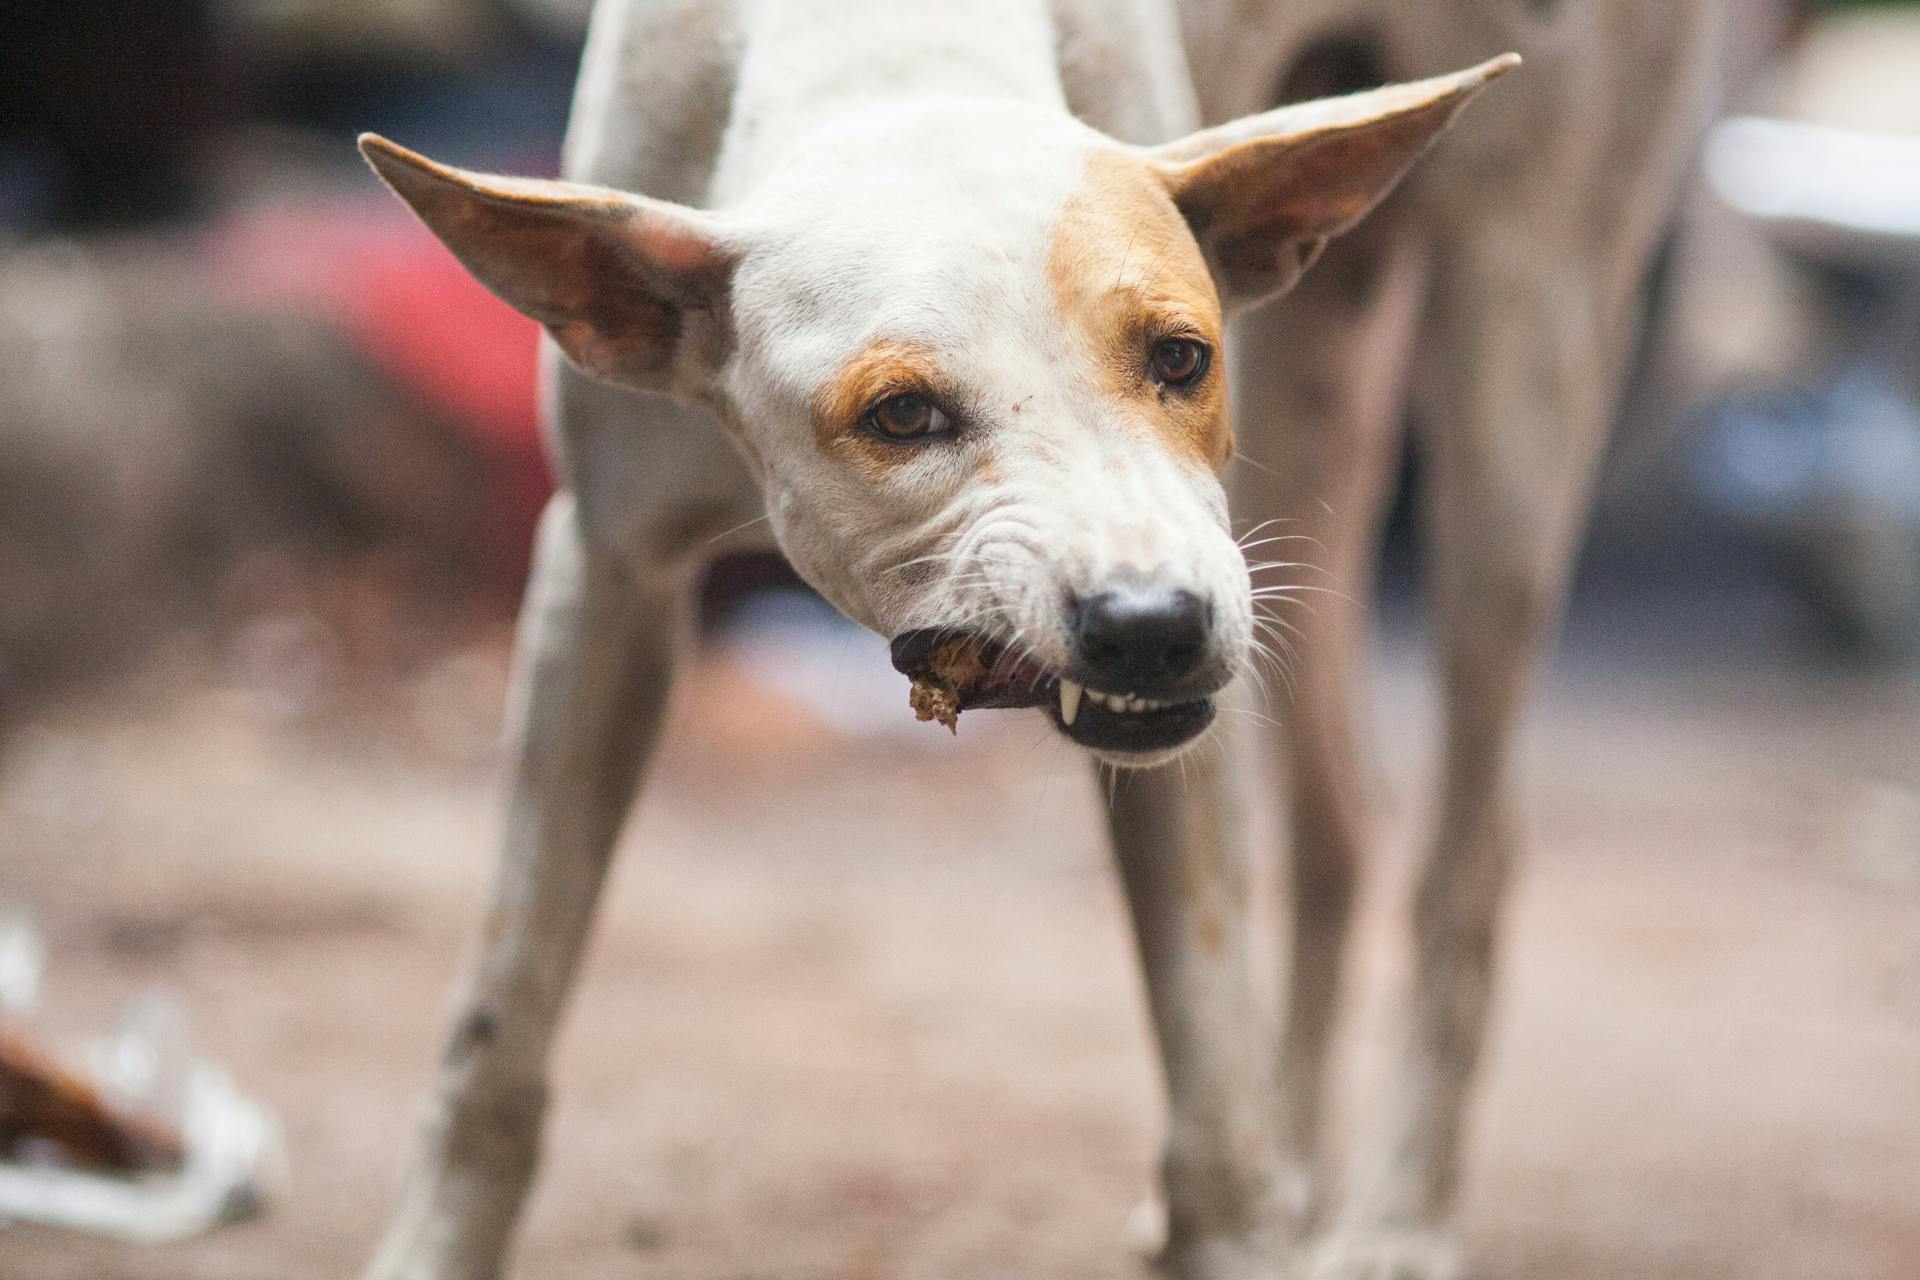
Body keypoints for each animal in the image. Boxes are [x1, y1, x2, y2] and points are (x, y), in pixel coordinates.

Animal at [353, 2, 1720, 1280]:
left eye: (1181, 356)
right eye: (901, 415)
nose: (1155, 627)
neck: (897, 50)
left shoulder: (1200, 677)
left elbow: (1212, 1085)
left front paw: (1244, 1217)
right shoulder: (603, 576)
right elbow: (497, 1021)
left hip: (1510, 364)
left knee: (1467, 856)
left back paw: (1400, 1215)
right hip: (1307, 416)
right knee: (1339, 822)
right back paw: (1311, 1166)